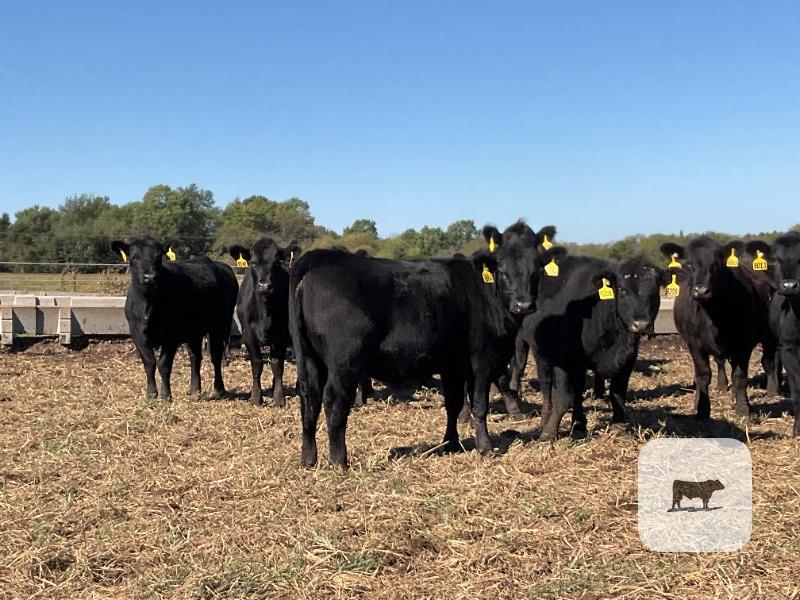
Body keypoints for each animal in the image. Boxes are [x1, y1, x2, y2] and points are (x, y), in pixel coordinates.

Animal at [111, 237, 239, 401]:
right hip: (194, 331)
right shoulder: (137, 334)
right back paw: (195, 389)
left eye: (159, 257)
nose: (149, 277)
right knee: (195, 356)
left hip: (220, 324)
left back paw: (218, 389)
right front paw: (151, 394)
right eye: (134, 257)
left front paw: (166, 395)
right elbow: (149, 363)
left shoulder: (171, 337)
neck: (148, 304)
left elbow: (163, 365)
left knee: (216, 356)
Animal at [229, 238, 302, 407]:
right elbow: (257, 363)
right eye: (253, 262)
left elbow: (277, 365)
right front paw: (256, 397)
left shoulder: (282, 335)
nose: (264, 285)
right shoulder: (248, 333)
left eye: (276, 262)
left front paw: (279, 398)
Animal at [289, 221, 557, 468]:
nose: (523, 305)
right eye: (501, 267)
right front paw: (486, 447)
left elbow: (454, 404)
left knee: (309, 400)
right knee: (334, 402)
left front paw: (451, 443)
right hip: (344, 363)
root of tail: (319, 257)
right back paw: (339, 462)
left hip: (312, 360)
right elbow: (479, 405)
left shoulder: (453, 365)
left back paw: (308, 459)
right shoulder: (481, 361)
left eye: (536, 267)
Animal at [517, 254, 666, 440]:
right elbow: (562, 398)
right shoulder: (563, 360)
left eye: (654, 292)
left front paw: (618, 425)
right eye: (622, 290)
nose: (641, 324)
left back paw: (578, 424)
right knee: (545, 386)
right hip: (532, 349)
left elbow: (617, 394)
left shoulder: (627, 361)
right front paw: (549, 433)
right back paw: (545, 420)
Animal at [659, 236, 777, 420]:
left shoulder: (743, 344)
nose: (701, 290)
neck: (712, 316)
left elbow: (739, 376)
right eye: (689, 265)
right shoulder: (695, 344)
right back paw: (722, 387)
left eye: (716, 265)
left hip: (768, 336)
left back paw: (772, 391)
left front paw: (743, 409)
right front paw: (701, 408)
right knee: (720, 362)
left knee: (768, 361)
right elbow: (703, 375)